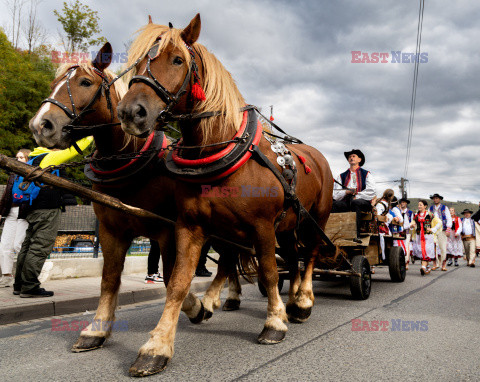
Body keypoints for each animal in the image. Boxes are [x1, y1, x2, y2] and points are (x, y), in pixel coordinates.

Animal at [28, 42, 242, 356]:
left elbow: (171, 277)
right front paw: (97, 328)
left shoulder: (167, 230)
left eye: (85, 82)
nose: (40, 125)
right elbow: (109, 279)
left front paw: (194, 308)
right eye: (53, 84)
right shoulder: (111, 230)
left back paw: (219, 299)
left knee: (230, 261)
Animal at [116, 14, 334, 376]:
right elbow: (178, 282)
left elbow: (268, 272)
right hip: (288, 225)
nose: (131, 112)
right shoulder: (192, 226)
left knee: (311, 255)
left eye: (177, 60)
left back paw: (302, 300)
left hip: (314, 218)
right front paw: (156, 347)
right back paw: (291, 301)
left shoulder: (262, 226)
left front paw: (274, 324)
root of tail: (316, 155)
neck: (219, 149)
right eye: (140, 59)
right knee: (293, 256)